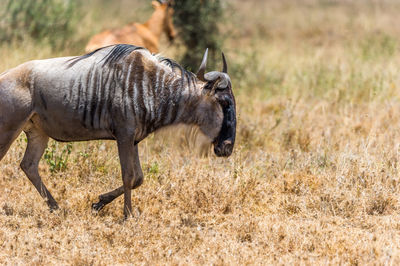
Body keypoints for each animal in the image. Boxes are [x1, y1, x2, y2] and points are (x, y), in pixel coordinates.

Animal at [0, 44, 236, 218]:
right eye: (224, 103)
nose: (227, 148)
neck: (152, 85)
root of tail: (4, 76)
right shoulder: (123, 136)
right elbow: (128, 175)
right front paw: (127, 215)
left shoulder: (134, 139)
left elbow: (138, 178)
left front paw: (99, 203)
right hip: (9, 130)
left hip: (38, 133)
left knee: (29, 165)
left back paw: (56, 207)